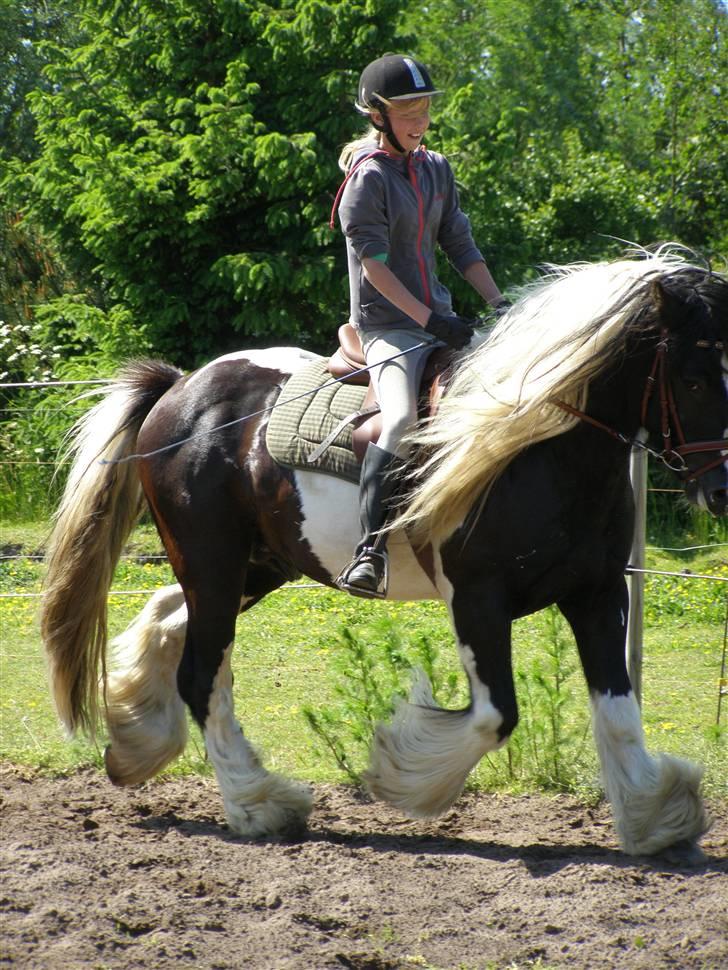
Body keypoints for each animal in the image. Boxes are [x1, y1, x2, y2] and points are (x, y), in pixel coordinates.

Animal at [41, 251, 728, 856]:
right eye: (694, 379)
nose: (721, 489)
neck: (534, 445)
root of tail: (181, 389)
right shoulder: (478, 598)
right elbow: (494, 716)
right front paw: (401, 774)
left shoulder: (598, 592)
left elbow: (618, 710)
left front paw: (655, 820)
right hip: (215, 565)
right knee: (201, 674)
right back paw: (257, 804)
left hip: (254, 568)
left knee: (168, 621)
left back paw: (140, 743)